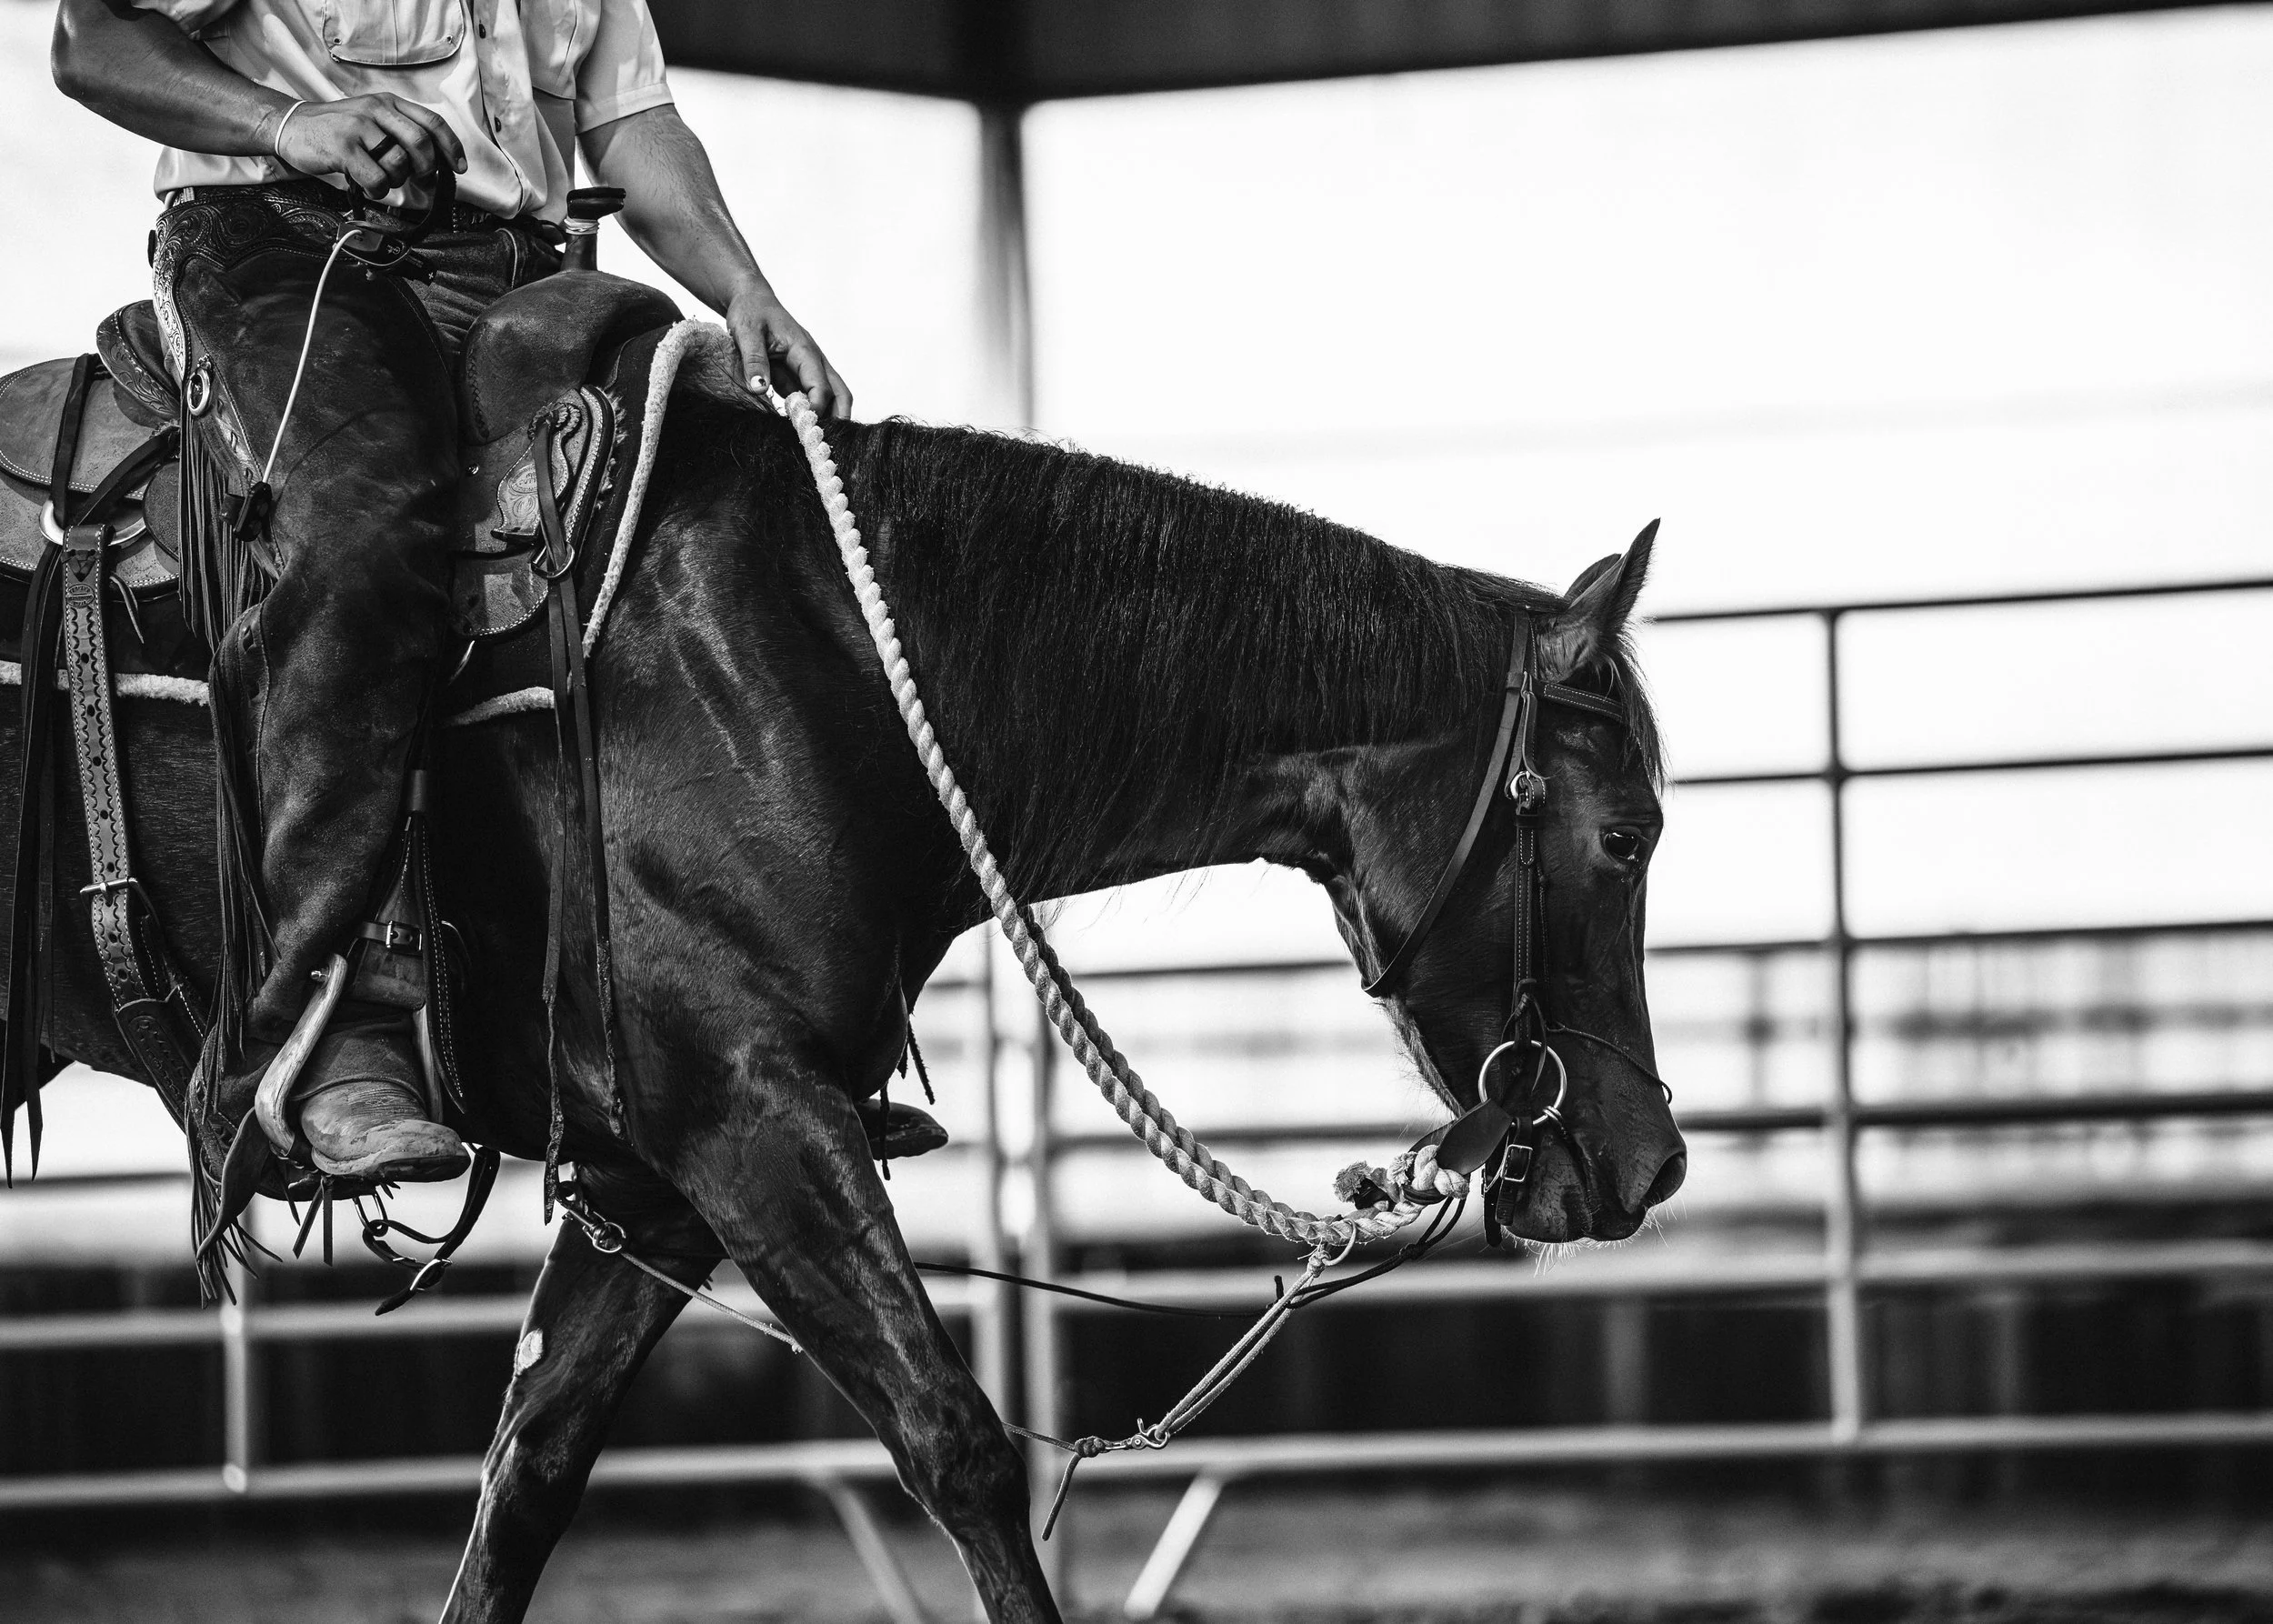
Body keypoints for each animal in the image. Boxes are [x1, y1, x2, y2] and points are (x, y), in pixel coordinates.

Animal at [3, 391, 1684, 1622]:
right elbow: (958, 1443)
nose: (1651, 1161)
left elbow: (524, 1476)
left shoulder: (654, 1178)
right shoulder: (753, 1122)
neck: (811, 666)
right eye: (1625, 838)